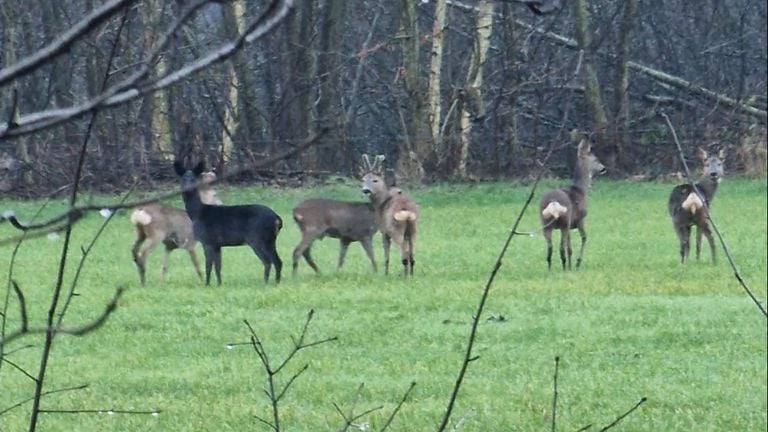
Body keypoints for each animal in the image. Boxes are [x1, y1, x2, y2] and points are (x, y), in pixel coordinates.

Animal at [540, 140, 608, 270]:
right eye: (596, 159)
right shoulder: (580, 219)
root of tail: (553, 202)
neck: (581, 191)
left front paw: (572, 265)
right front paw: (577, 263)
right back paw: (565, 268)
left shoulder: (570, 225)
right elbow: (584, 238)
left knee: (550, 248)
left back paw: (550, 270)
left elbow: (570, 247)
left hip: (545, 223)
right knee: (561, 248)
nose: (604, 168)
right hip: (564, 222)